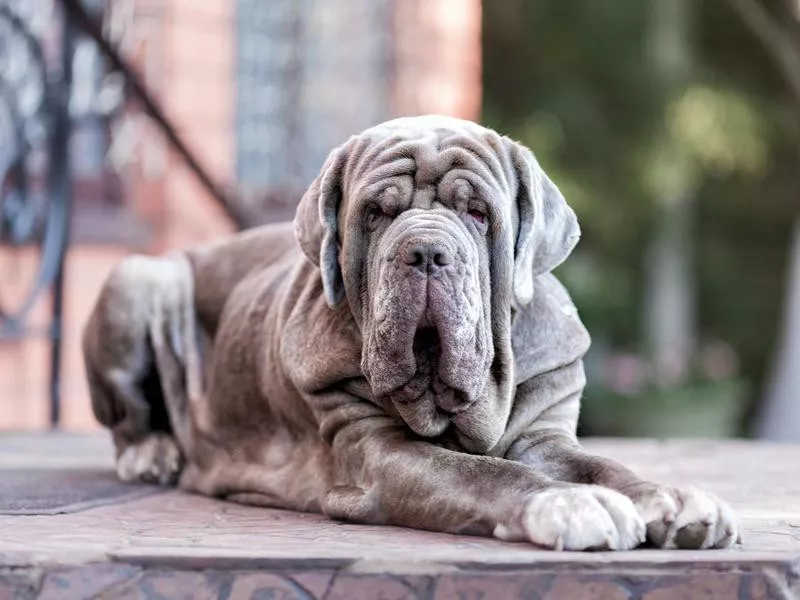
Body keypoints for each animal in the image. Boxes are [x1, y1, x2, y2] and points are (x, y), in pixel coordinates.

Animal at [81, 115, 736, 552]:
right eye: (375, 214)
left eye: (478, 213)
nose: (424, 251)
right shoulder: (376, 453)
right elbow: (483, 473)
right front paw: (569, 502)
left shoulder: (545, 437)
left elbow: (604, 466)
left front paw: (672, 498)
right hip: (142, 278)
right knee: (128, 420)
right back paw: (153, 453)